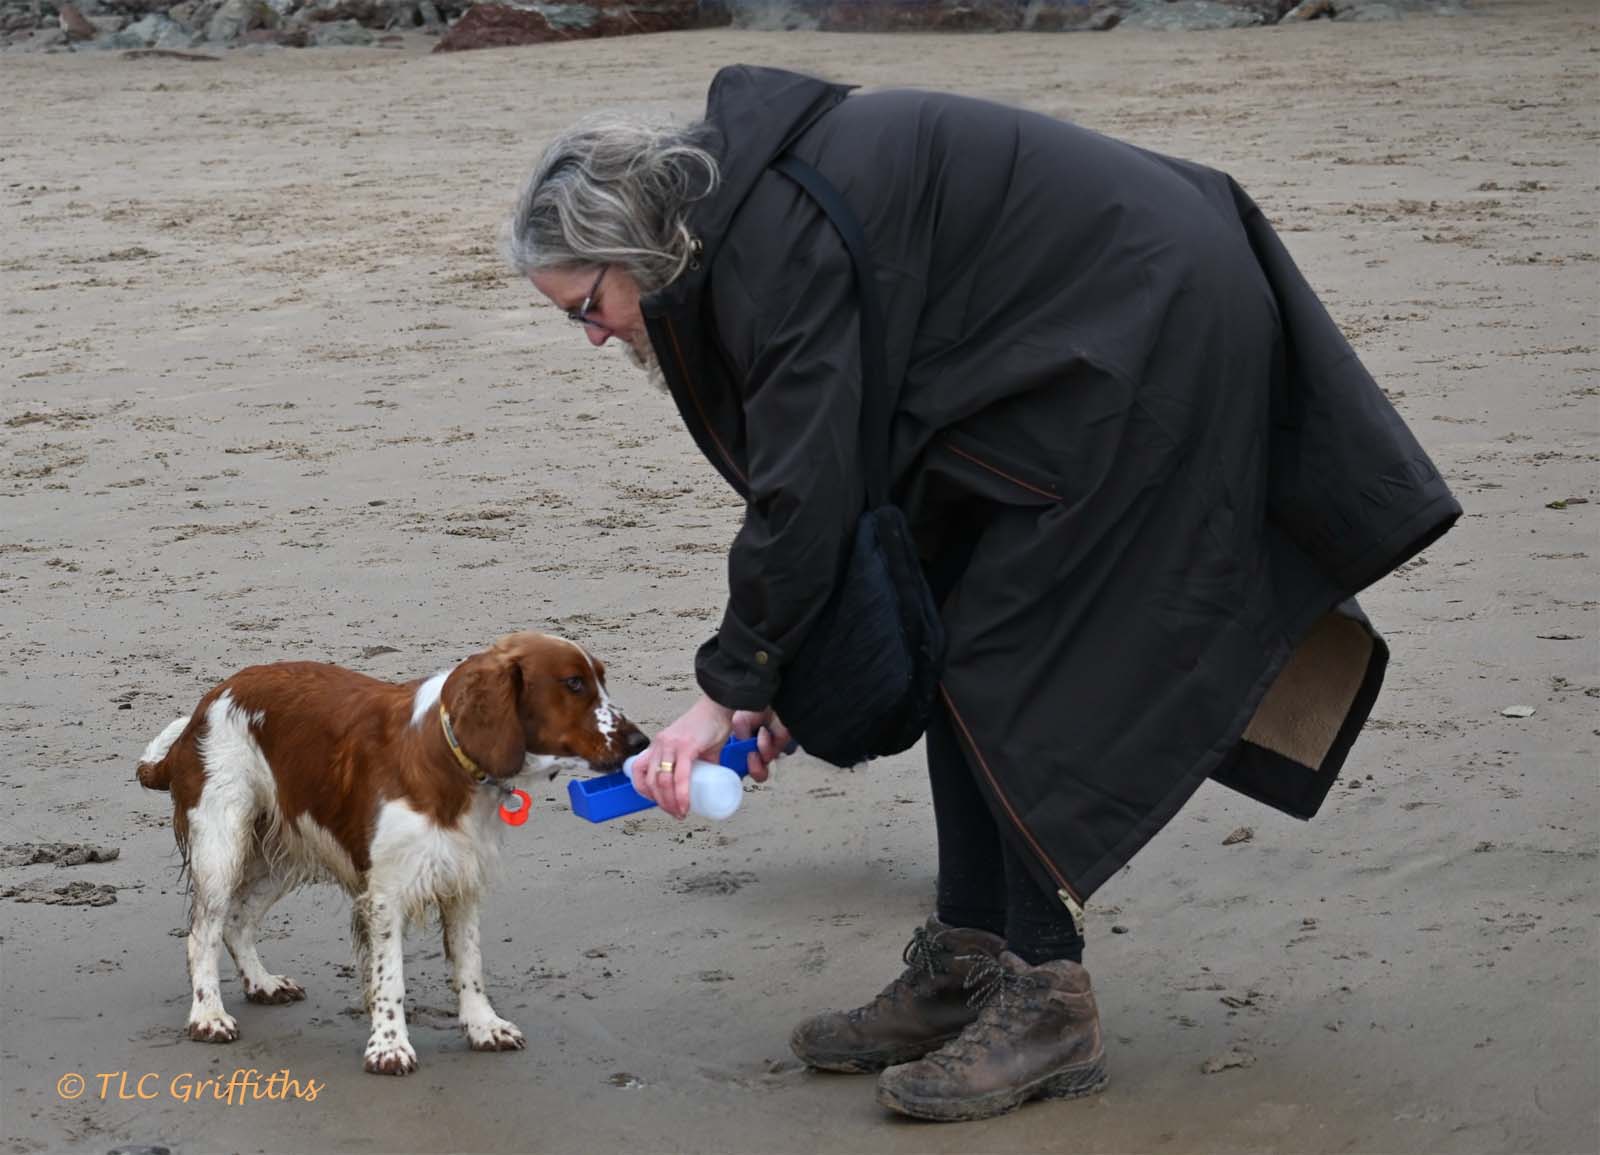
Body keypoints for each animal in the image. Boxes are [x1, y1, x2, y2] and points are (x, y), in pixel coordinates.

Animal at [135, 630, 647, 1075]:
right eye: (574, 683)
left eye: (600, 678)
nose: (641, 742)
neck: (448, 755)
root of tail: (203, 707)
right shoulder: (386, 894)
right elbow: (389, 978)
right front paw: (389, 1047)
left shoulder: (461, 881)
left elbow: (470, 963)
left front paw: (483, 1027)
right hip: (222, 842)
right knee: (203, 931)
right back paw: (208, 1017)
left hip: (284, 852)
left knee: (238, 919)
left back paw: (263, 983)